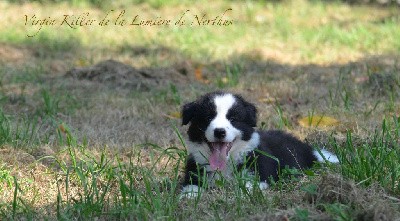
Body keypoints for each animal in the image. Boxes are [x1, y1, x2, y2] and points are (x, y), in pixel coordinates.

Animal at [181, 90, 338, 198]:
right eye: (208, 118)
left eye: (233, 119)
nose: (219, 132)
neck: (225, 165)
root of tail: (308, 150)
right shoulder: (194, 170)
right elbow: (190, 186)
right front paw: (189, 196)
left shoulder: (259, 173)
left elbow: (248, 186)